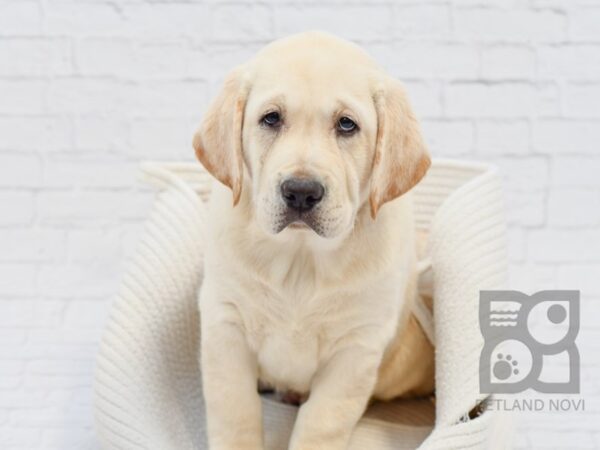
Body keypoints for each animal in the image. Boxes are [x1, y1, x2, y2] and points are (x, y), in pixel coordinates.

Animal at [195, 31, 434, 450]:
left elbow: (322, 422)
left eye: (347, 125)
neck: (301, 257)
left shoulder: (357, 347)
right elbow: (235, 411)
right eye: (271, 118)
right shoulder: (225, 321)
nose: (301, 192)